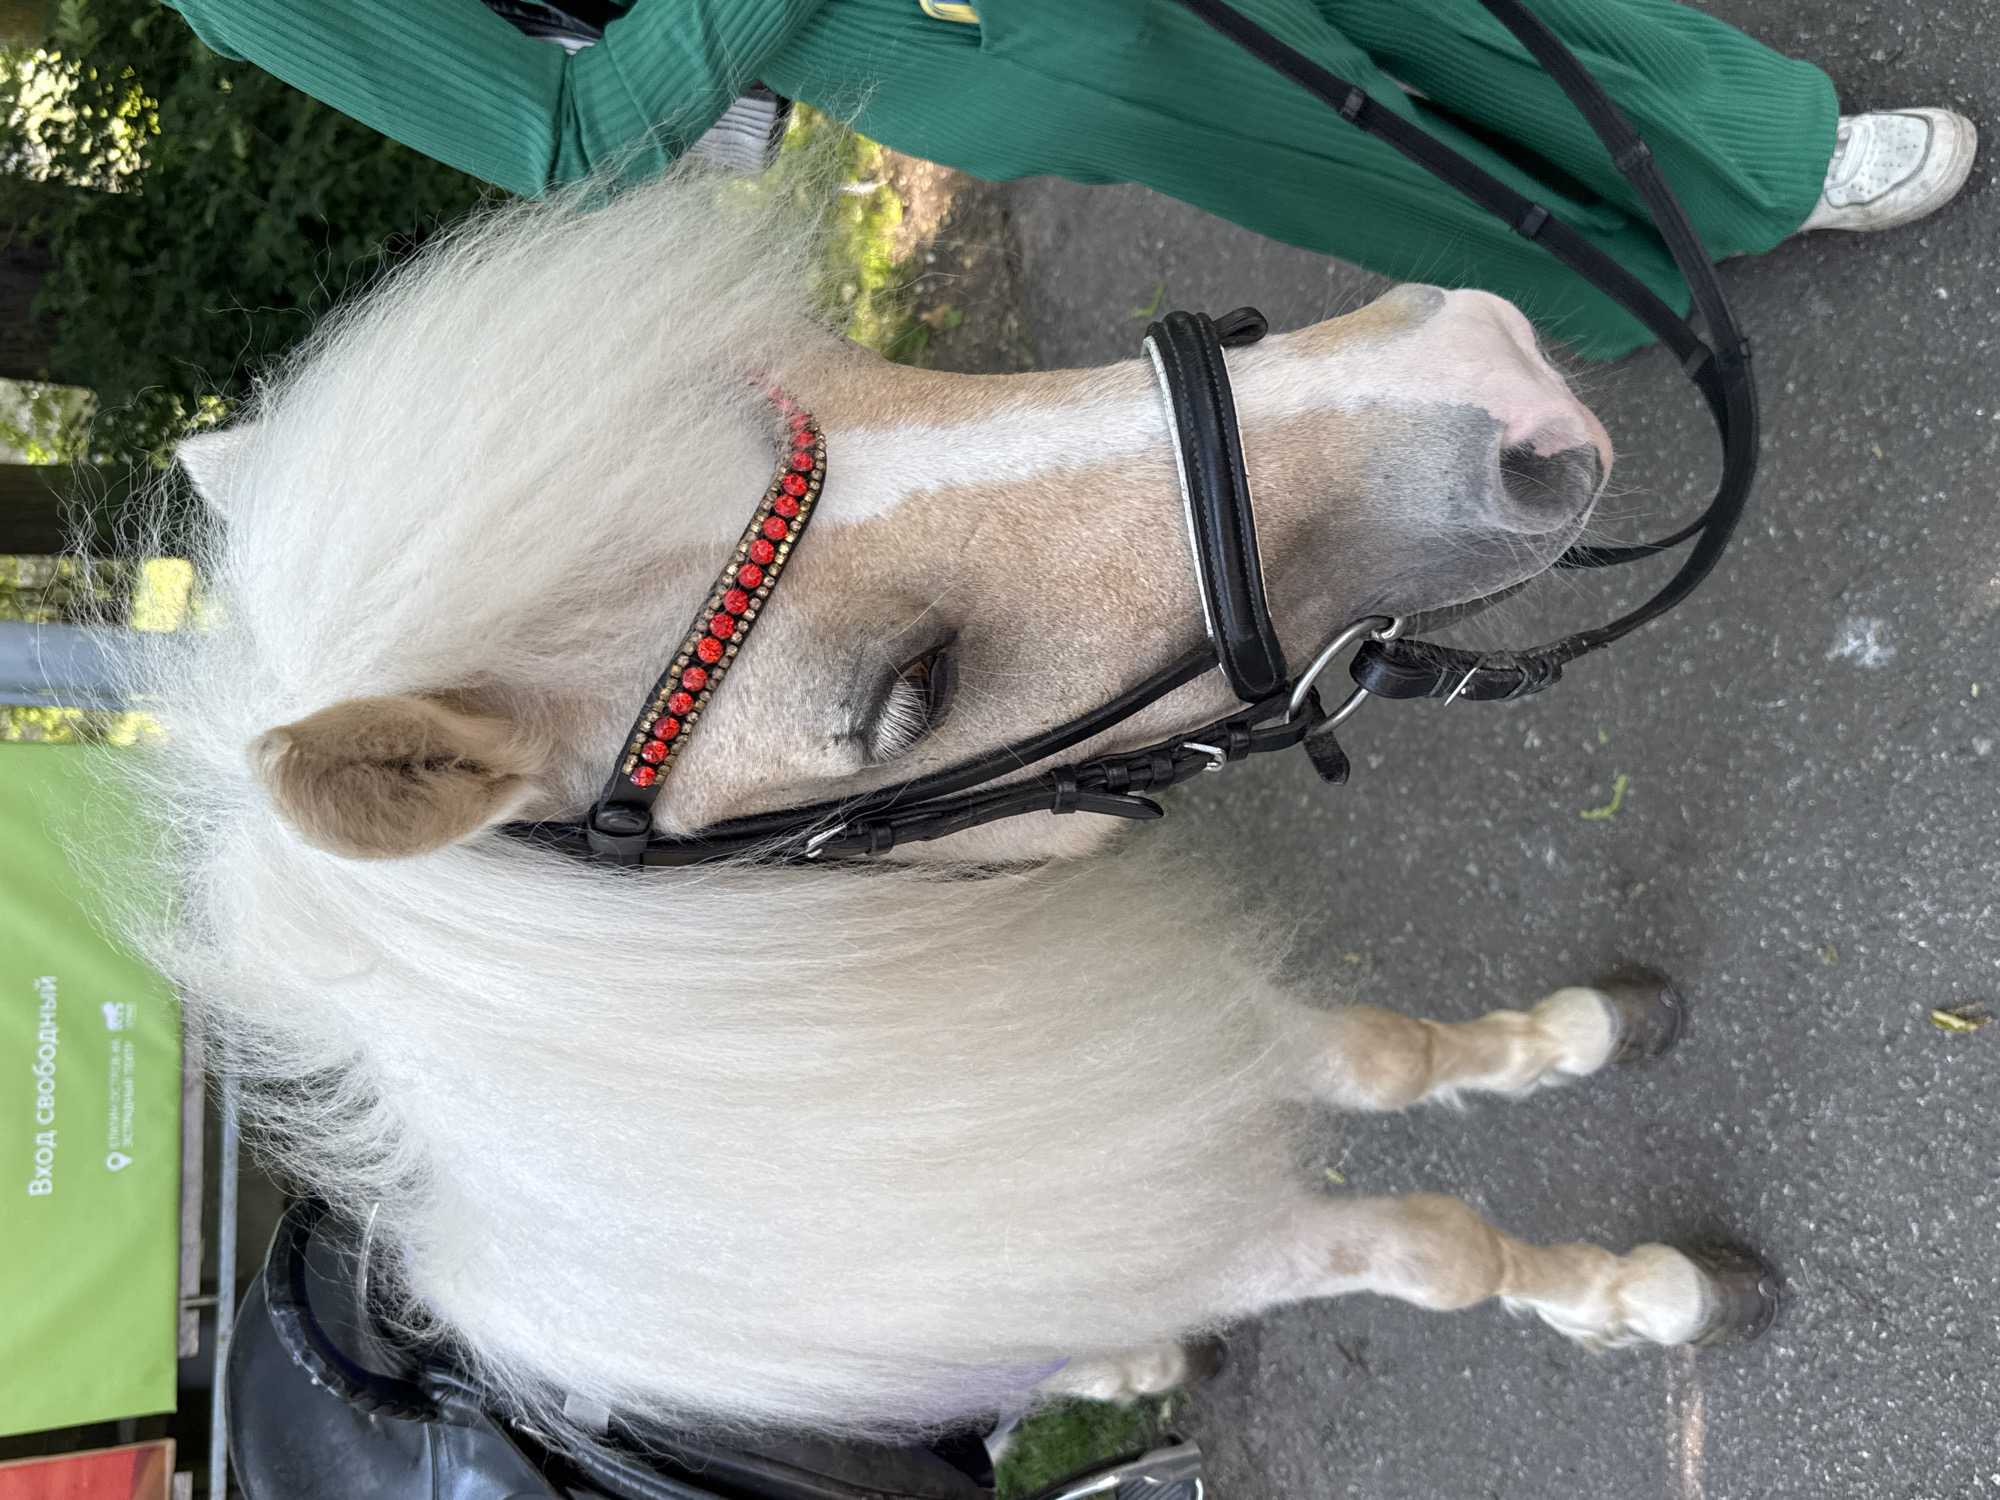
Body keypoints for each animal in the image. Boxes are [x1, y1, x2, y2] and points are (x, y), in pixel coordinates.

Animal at [134, 163, 1770, 1444]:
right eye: (911, 688)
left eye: (834, 350)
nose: (1497, 373)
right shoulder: (1161, 1220)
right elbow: (1438, 1251)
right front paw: (1654, 1298)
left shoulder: (1154, 1033)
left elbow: (1384, 1056)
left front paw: (1585, 1034)